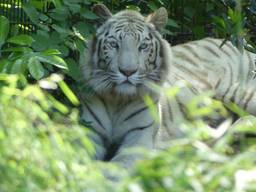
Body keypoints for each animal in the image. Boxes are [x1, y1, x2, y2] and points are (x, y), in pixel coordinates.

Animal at [80, 3, 256, 167]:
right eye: (114, 44)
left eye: (143, 46)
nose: (127, 71)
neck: (118, 99)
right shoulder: (90, 131)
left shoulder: (139, 138)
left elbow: (116, 167)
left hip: (236, 92)